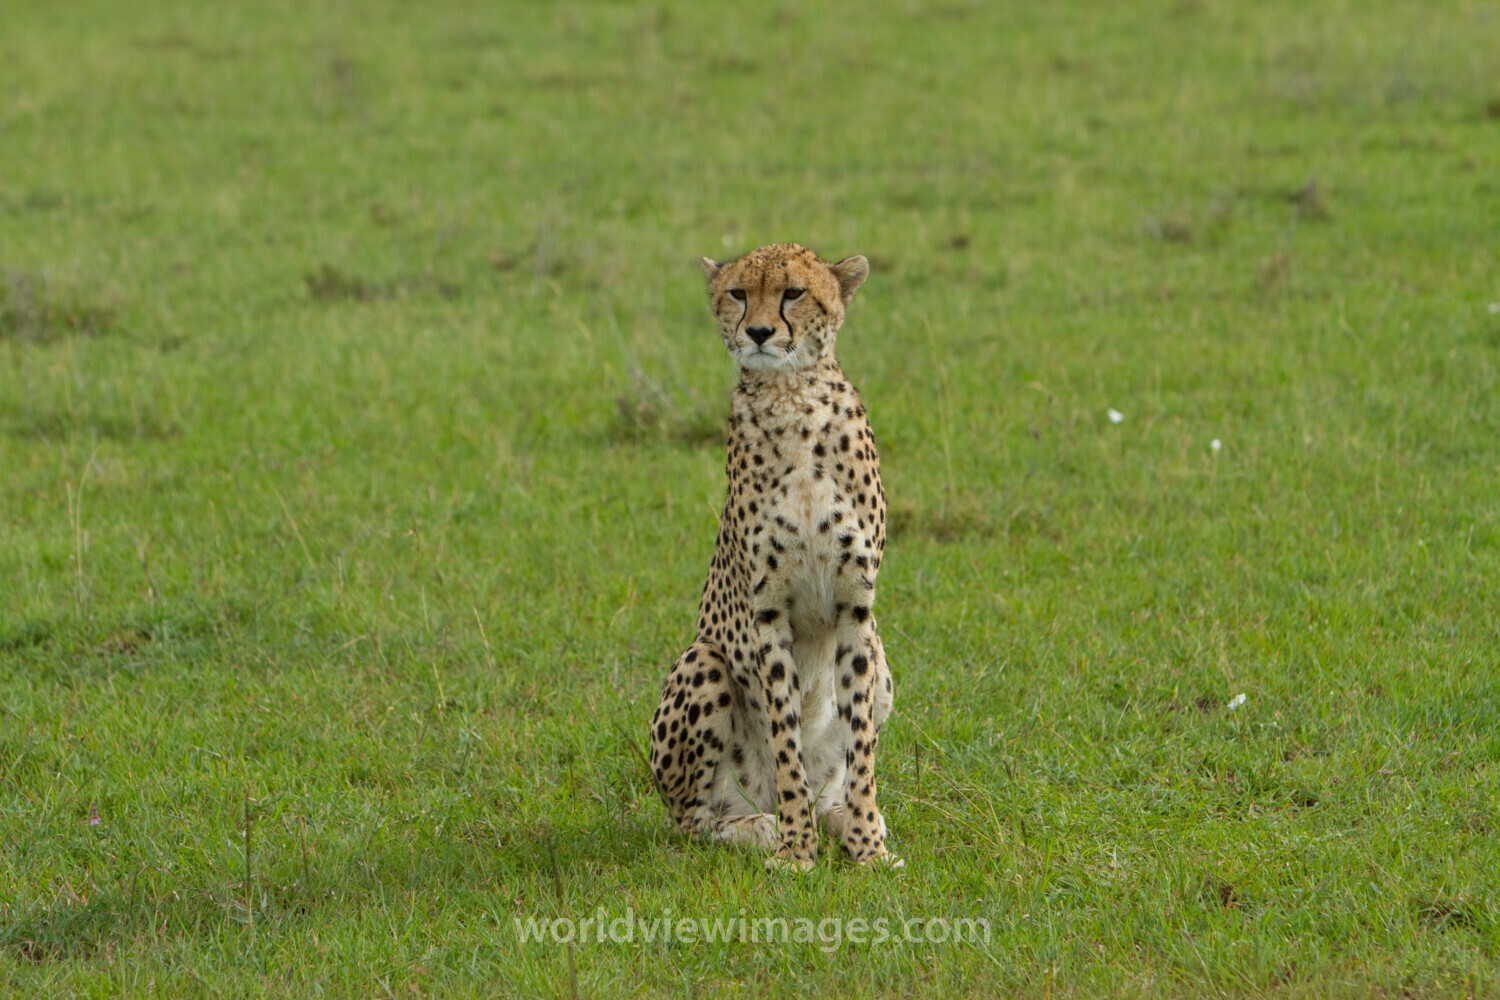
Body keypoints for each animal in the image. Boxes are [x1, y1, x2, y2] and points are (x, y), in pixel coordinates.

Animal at [648, 242, 900, 871]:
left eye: (793, 292)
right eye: (739, 293)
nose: (759, 332)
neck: (793, 398)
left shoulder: (856, 609)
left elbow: (861, 746)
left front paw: (866, 846)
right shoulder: (768, 613)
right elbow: (786, 739)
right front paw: (795, 852)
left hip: (885, 660)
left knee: (834, 778)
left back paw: (838, 819)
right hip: (703, 660)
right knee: (696, 821)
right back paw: (761, 826)